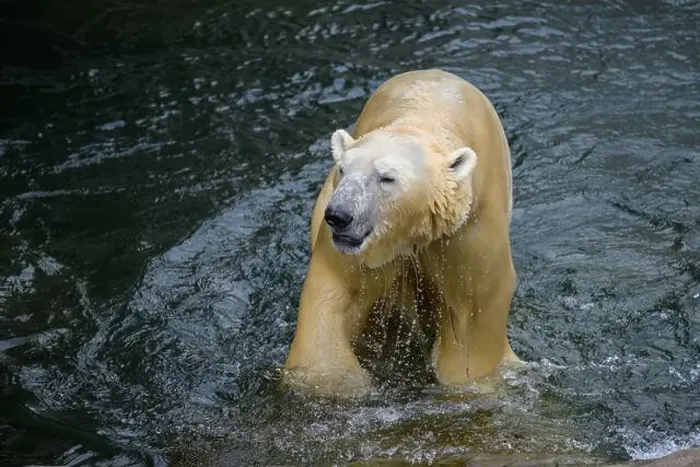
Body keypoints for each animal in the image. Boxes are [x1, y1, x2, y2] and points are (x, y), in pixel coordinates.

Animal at [283, 69, 519, 395]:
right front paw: (330, 380)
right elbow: (333, 291)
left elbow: (473, 313)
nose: (339, 216)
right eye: (343, 169)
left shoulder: (467, 234)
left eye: (387, 177)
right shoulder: (357, 247)